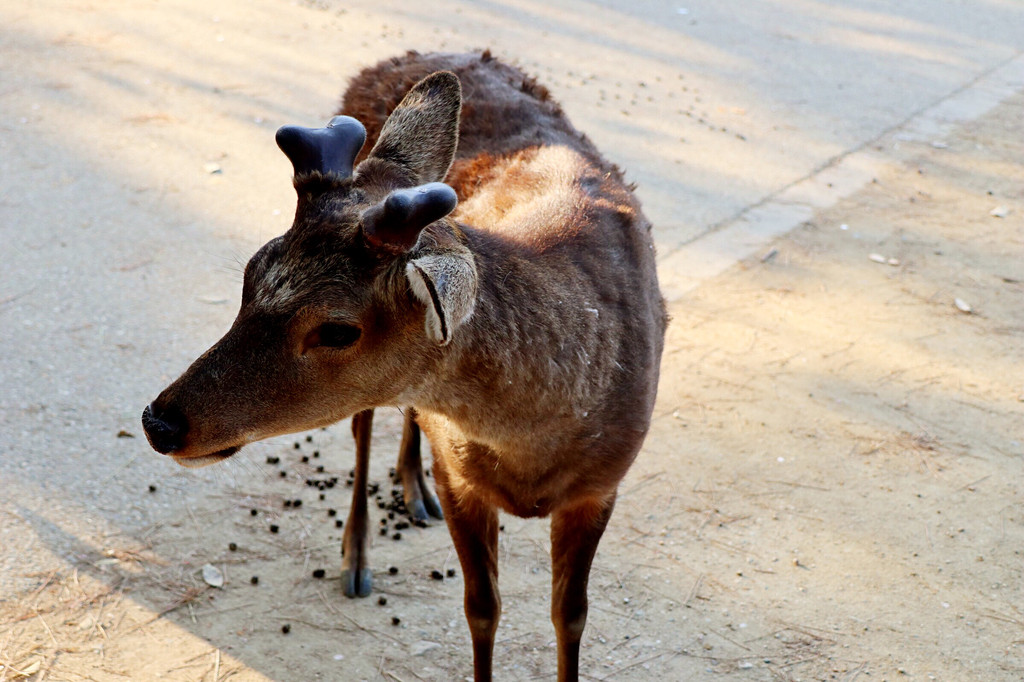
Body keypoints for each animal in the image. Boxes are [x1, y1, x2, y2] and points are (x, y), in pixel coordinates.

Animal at [146, 50, 671, 675]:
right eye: (250, 275)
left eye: (337, 329)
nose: (159, 421)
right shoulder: (459, 477)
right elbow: (481, 608)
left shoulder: (602, 485)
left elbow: (570, 616)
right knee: (364, 426)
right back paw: (357, 557)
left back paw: (412, 490)